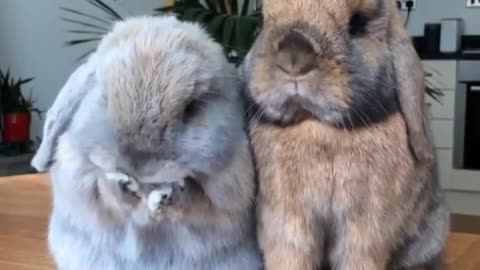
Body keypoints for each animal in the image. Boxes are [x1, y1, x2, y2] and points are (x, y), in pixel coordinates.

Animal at [31, 15, 262, 270]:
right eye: (105, 97)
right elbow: (102, 194)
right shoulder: (78, 184)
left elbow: (200, 204)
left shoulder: (230, 199)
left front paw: (168, 197)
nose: (137, 163)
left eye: (192, 107)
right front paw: (120, 186)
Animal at [244, 0, 450, 270]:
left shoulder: (366, 227)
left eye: (358, 24)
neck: (319, 128)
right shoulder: (287, 221)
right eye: (261, 21)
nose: (294, 58)